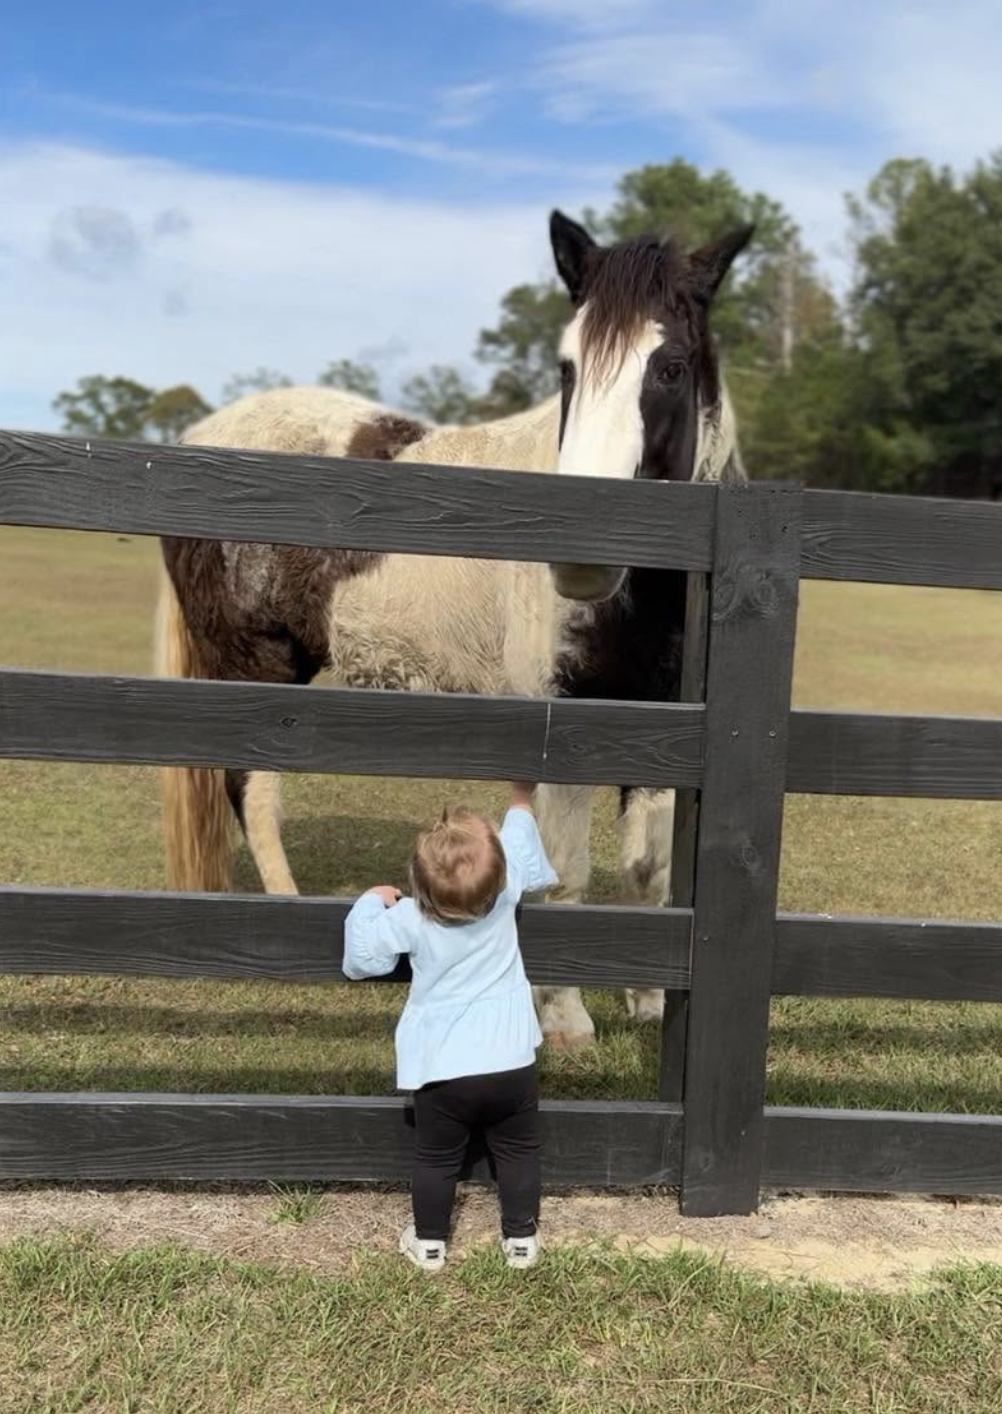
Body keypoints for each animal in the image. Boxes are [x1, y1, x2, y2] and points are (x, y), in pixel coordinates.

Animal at [156, 208, 751, 1051]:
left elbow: (652, 869)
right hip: (254, 666)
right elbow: (565, 870)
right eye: (568, 368)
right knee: (252, 793)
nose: (581, 556)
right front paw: (566, 1020)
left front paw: (649, 999)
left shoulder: (665, 726)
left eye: (668, 367)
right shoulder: (565, 725)